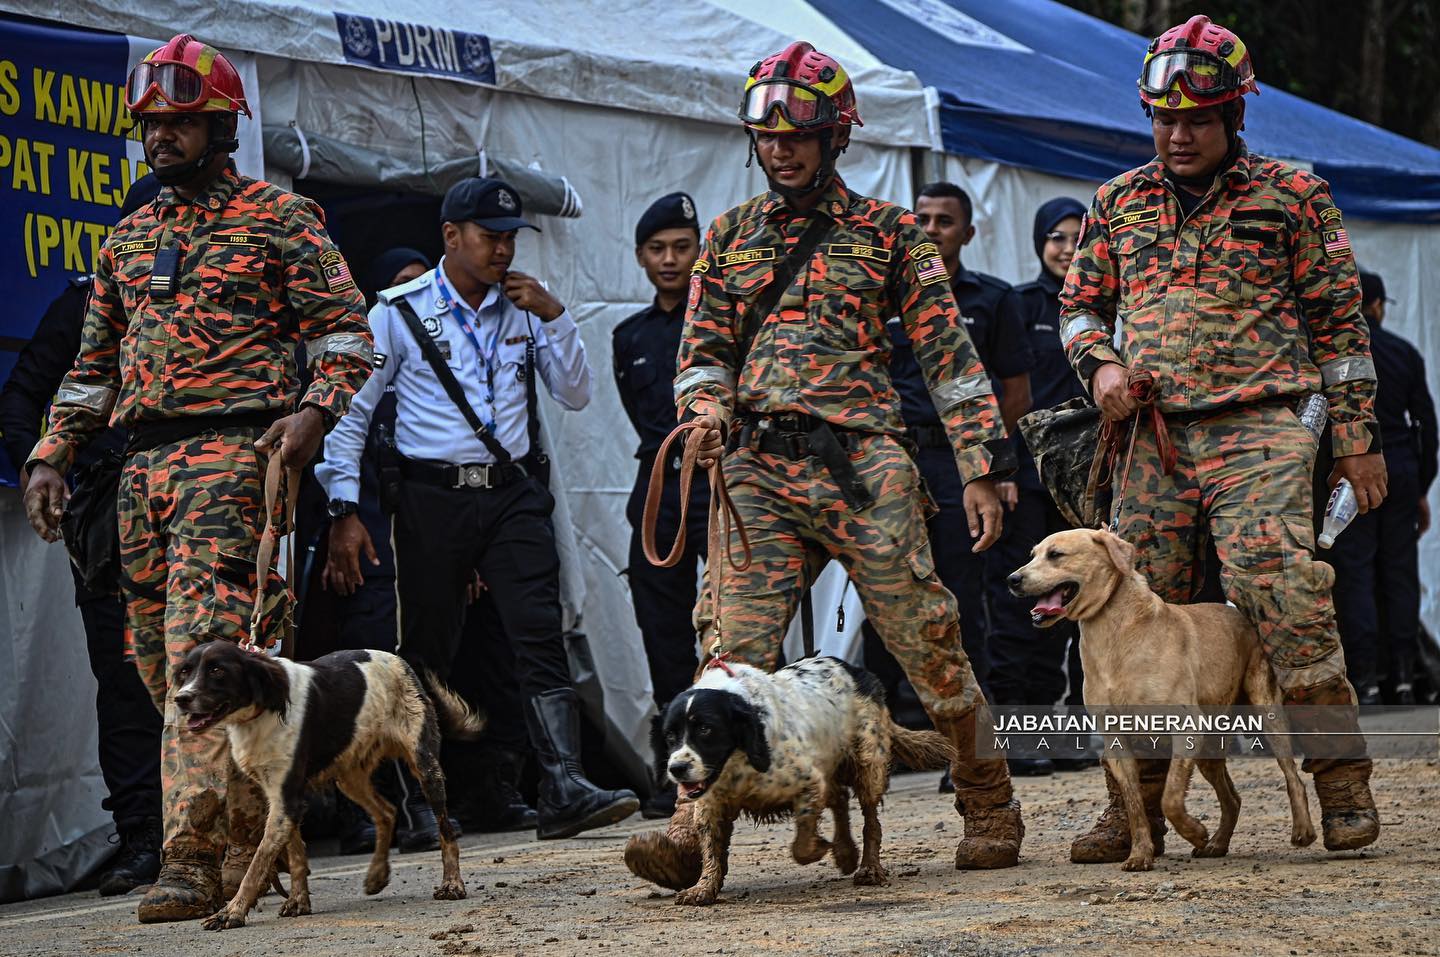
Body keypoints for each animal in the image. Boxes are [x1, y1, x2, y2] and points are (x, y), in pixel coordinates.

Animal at [1008, 526, 1313, 869]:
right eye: (1032, 555)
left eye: (1056, 554)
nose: (1012, 579)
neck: (1116, 635)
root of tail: (1241, 615)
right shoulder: (1117, 742)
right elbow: (1135, 804)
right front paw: (1141, 854)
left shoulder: (1185, 727)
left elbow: (1170, 799)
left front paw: (1195, 832)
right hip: (1210, 746)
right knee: (1233, 798)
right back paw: (1217, 843)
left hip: (1266, 712)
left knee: (1292, 776)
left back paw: (1303, 831)